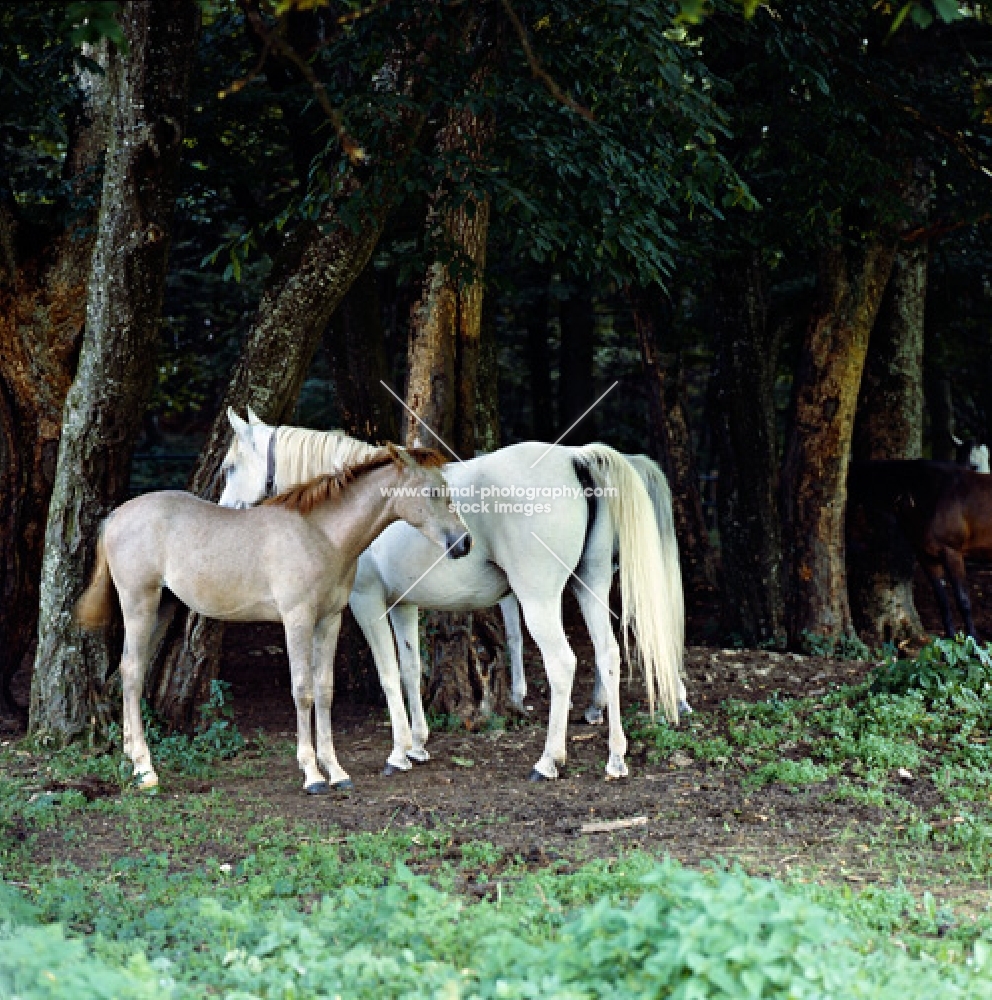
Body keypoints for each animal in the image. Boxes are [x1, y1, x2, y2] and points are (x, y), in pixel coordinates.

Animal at [73, 450, 468, 792]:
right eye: (433, 492)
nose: (463, 543)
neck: (321, 535)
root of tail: (115, 516)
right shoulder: (297, 620)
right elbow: (302, 691)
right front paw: (312, 774)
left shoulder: (329, 621)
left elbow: (324, 691)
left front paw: (336, 771)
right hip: (139, 604)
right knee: (132, 672)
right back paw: (146, 770)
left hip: (163, 608)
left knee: (130, 672)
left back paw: (132, 760)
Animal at [220, 408, 684, 780]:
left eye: (229, 467)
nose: (227, 516)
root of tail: (574, 458)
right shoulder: (402, 605)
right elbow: (410, 669)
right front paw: (417, 745)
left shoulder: (367, 603)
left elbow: (389, 673)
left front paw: (397, 754)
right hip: (591, 588)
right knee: (608, 657)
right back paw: (615, 758)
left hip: (539, 600)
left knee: (563, 664)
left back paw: (548, 761)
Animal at [844, 458, 992, 636]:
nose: (850, 548)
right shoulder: (927, 556)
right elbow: (942, 600)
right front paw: (950, 638)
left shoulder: (952, 552)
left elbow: (963, 600)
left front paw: (973, 641)